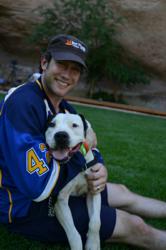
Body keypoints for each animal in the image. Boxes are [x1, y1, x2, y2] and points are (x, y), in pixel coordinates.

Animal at [44, 113, 100, 250]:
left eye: (74, 125)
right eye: (52, 124)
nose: (61, 135)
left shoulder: (94, 190)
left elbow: (96, 222)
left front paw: (93, 243)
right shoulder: (60, 201)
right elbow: (74, 234)